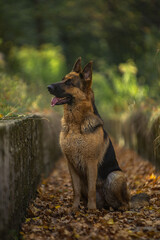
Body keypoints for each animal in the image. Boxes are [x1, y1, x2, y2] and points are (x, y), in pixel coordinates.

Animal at [47, 57, 149, 210]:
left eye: (69, 82)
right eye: (62, 79)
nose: (48, 87)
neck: (75, 124)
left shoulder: (91, 162)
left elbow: (91, 189)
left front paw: (91, 210)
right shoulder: (70, 164)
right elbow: (76, 190)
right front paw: (74, 209)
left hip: (115, 175)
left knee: (125, 203)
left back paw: (117, 208)